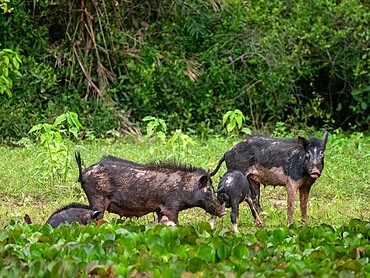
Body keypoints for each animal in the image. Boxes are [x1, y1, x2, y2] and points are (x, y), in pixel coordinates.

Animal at [75, 153, 225, 225]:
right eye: (209, 189)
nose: (223, 211)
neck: (183, 187)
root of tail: (83, 173)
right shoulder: (170, 207)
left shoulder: (160, 210)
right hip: (97, 199)